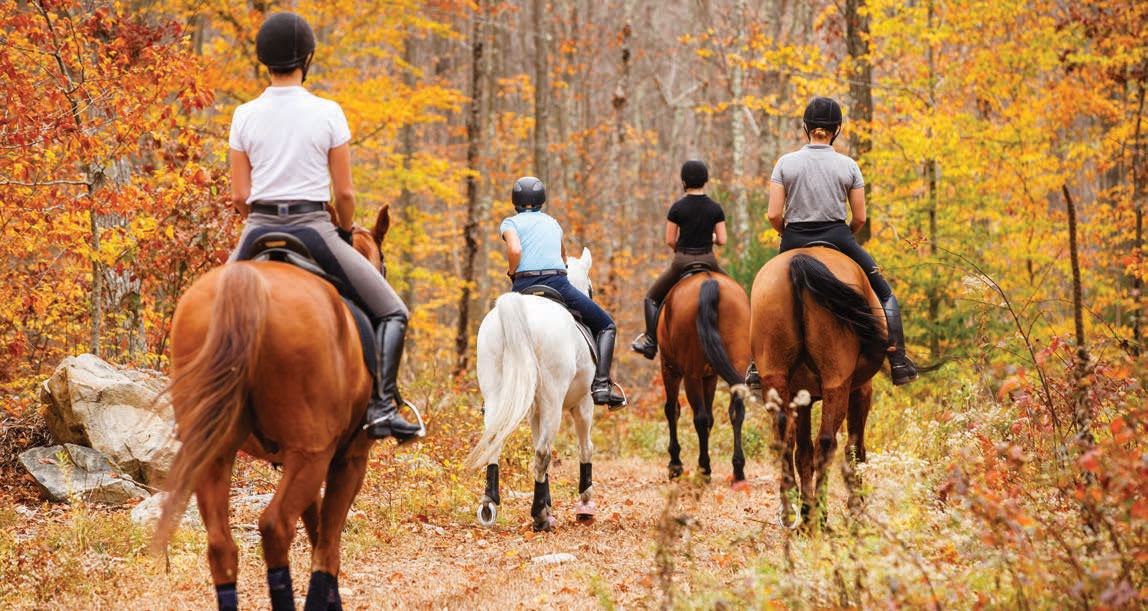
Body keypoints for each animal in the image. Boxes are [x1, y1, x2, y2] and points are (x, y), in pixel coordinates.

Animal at [152, 206, 397, 611]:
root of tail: (247, 285)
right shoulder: (347, 459)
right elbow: (327, 545)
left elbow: (316, 532)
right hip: (311, 454)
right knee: (276, 527)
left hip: (214, 451)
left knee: (221, 546)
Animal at [463, 245, 596, 532]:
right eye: (590, 288)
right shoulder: (583, 404)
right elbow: (585, 448)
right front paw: (584, 505)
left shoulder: (535, 410)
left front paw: (550, 504)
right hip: (554, 400)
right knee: (544, 452)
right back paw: (539, 517)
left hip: (497, 392)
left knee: (496, 440)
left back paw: (489, 504)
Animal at [656, 269, 753, 484]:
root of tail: (709, 281)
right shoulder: (710, 377)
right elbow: (710, 417)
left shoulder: (670, 370)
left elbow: (672, 410)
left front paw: (675, 465)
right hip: (735, 366)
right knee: (736, 412)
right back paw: (738, 471)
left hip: (689, 374)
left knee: (698, 418)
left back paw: (704, 470)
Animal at [748, 248, 881, 530]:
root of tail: (800, 260)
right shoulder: (861, 390)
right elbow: (855, 449)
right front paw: (856, 507)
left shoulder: (803, 397)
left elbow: (803, 452)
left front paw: (805, 509)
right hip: (837, 381)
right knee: (827, 442)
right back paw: (820, 517)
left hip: (775, 377)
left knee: (785, 440)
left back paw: (793, 513)